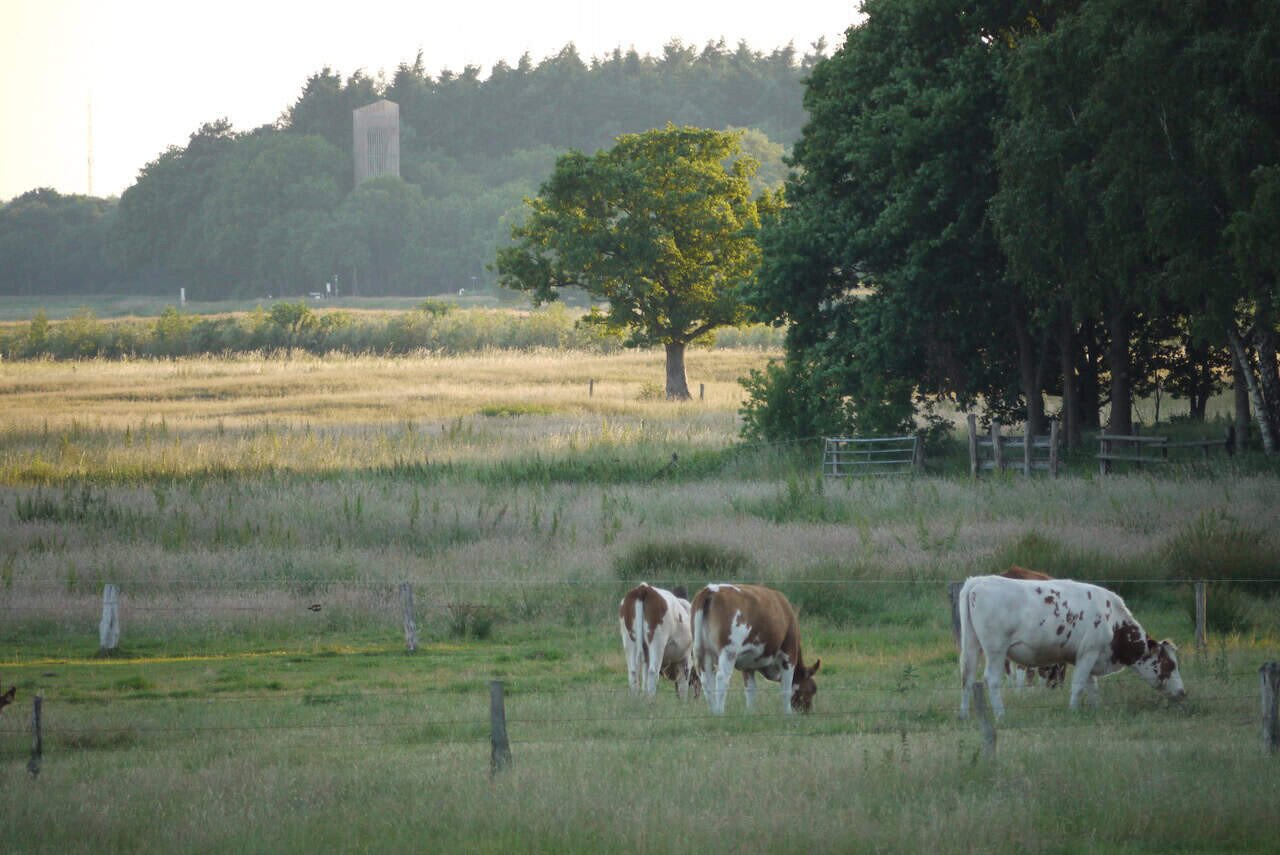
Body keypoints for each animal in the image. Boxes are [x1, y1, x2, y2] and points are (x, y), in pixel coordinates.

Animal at [690, 583, 820, 715]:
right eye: (812, 689)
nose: (808, 712)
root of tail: (711, 589)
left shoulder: (748, 666)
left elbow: (751, 691)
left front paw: (750, 712)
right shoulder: (789, 654)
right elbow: (786, 689)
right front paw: (787, 713)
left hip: (701, 650)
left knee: (706, 679)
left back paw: (713, 712)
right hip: (728, 651)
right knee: (722, 678)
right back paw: (719, 712)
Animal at [959, 574, 1186, 718]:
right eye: (1170, 665)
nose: (1183, 692)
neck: (1112, 620)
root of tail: (979, 580)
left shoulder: (1092, 657)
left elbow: (1092, 687)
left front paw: (1097, 711)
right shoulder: (1088, 652)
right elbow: (1078, 686)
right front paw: (1073, 712)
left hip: (971, 645)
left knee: (967, 678)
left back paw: (964, 715)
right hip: (996, 650)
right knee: (992, 679)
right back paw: (1001, 715)